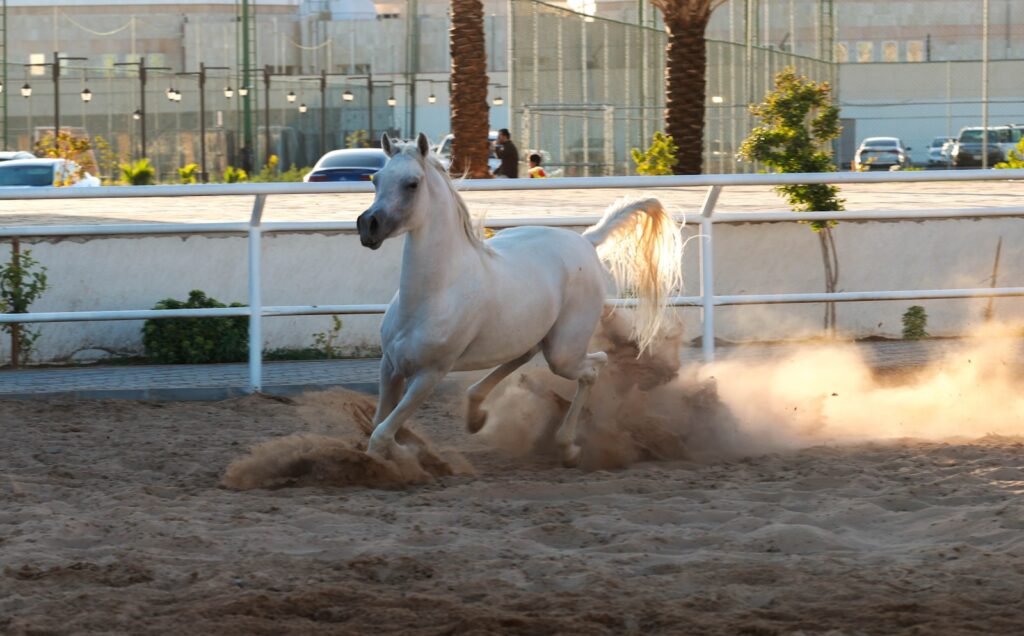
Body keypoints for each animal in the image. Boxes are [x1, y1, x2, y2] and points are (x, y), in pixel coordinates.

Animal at [356, 133, 683, 466]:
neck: (433, 295)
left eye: (412, 183)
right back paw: (476, 417)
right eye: (376, 179)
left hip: (563, 352)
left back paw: (568, 447)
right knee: (523, 357)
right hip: (533, 335)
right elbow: (380, 424)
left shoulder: (429, 375)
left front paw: (405, 455)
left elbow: (381, 433)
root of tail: (586, 240)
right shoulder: (390, 366)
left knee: (594, 367)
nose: (367, 225)